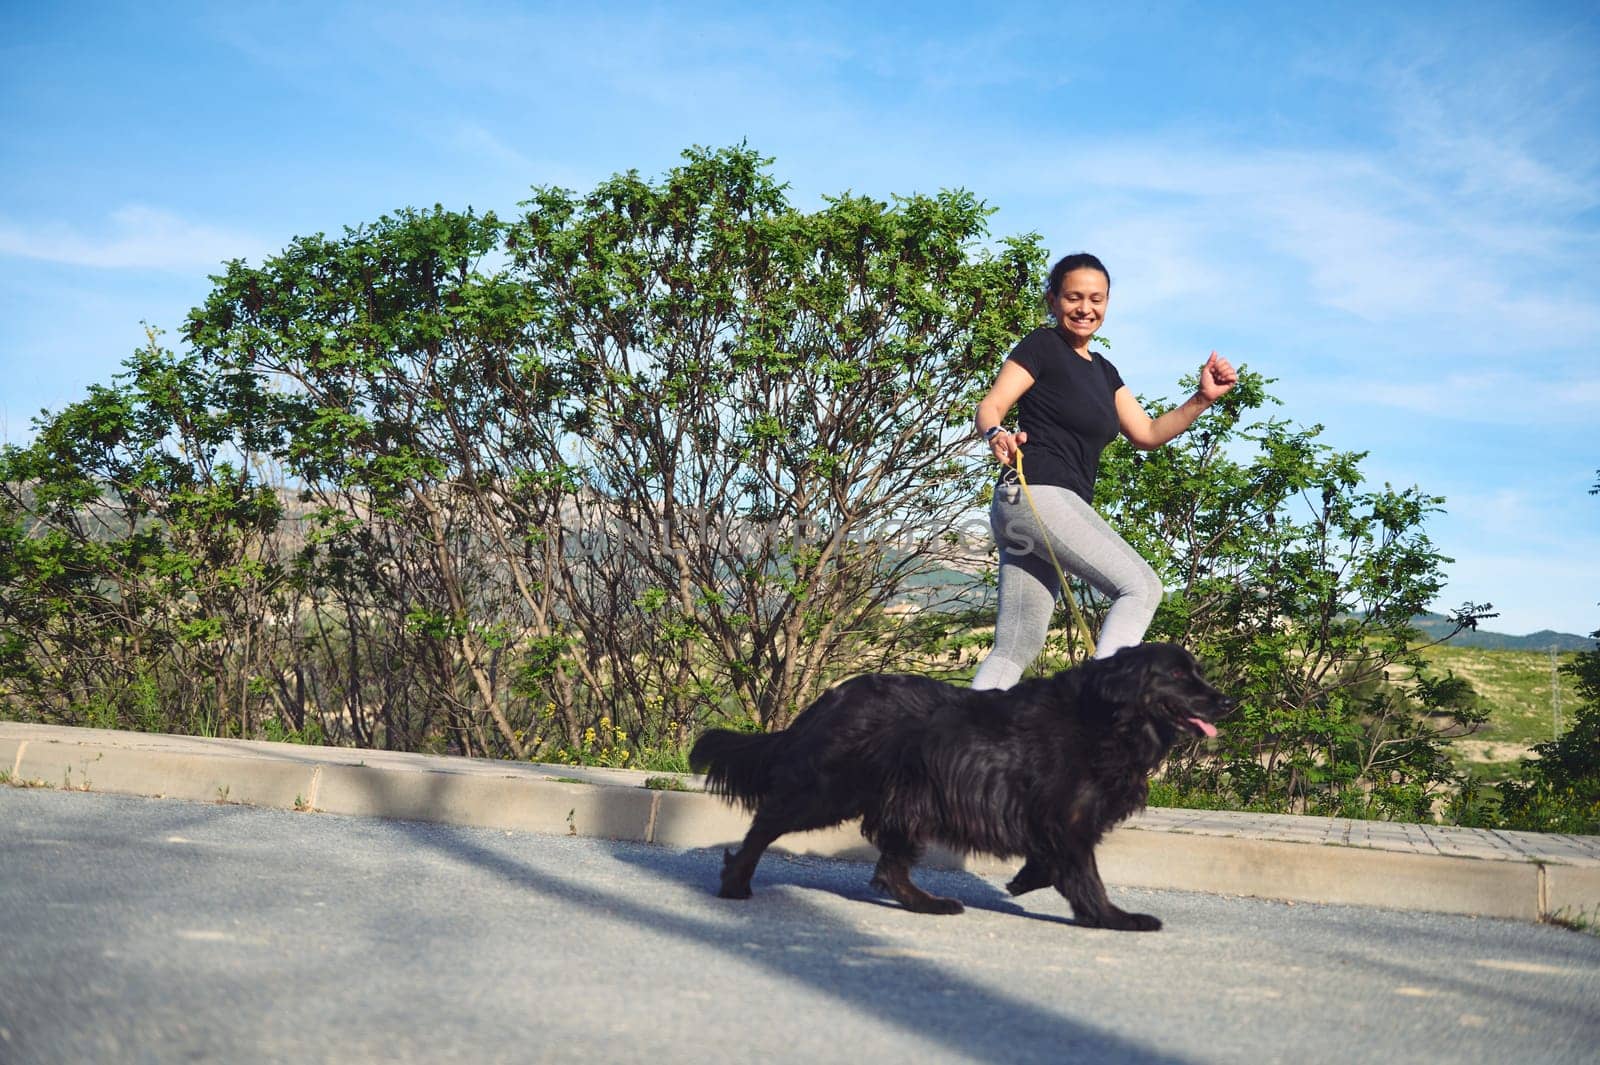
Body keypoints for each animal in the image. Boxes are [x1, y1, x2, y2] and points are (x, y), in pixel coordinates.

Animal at [691, 639, 1235, 927]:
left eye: (1198, 672)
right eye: (1179, 676)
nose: (1228, 702)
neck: (1108, 717)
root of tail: (832, 697)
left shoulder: (1052, 818)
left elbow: (1053, 862)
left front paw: (1025, 880)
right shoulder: (1068, 816)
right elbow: (1086, 875)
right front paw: (1112, 917)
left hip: (903, 802)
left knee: (890, 869)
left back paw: (927, 903)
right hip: (829, 790)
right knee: (765, 822)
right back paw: (735, 881)